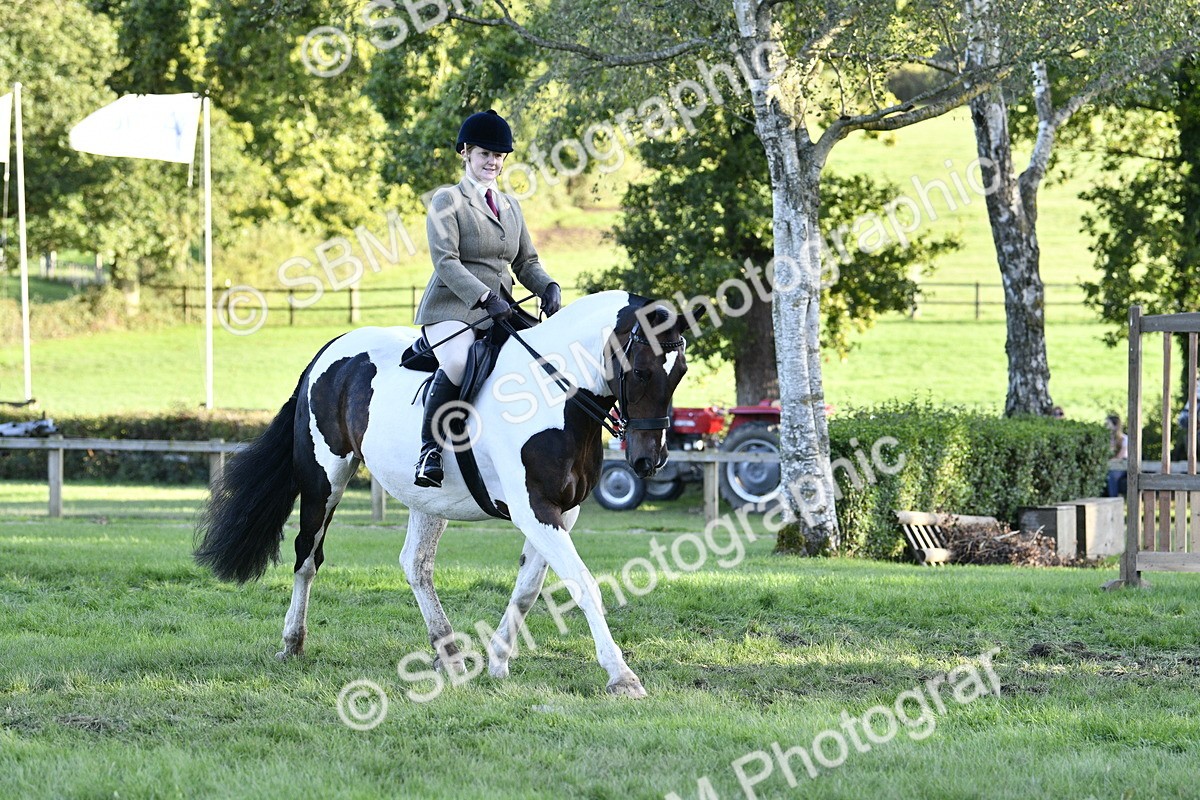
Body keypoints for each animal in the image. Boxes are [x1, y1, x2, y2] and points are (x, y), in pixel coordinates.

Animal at [194, 291, 688, 697]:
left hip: (427, 499)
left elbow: (528, 589)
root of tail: (328, 351)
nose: (649, 461)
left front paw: (497, 661)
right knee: (307, 557)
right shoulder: (534, 509)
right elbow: (584, 585)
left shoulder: (562, 513)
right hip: (325, 479)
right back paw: (293, 643)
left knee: (415, 565)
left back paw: (448, 653)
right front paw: (622, 676)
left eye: (679, 372)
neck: (553, 391)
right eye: (641, 371)